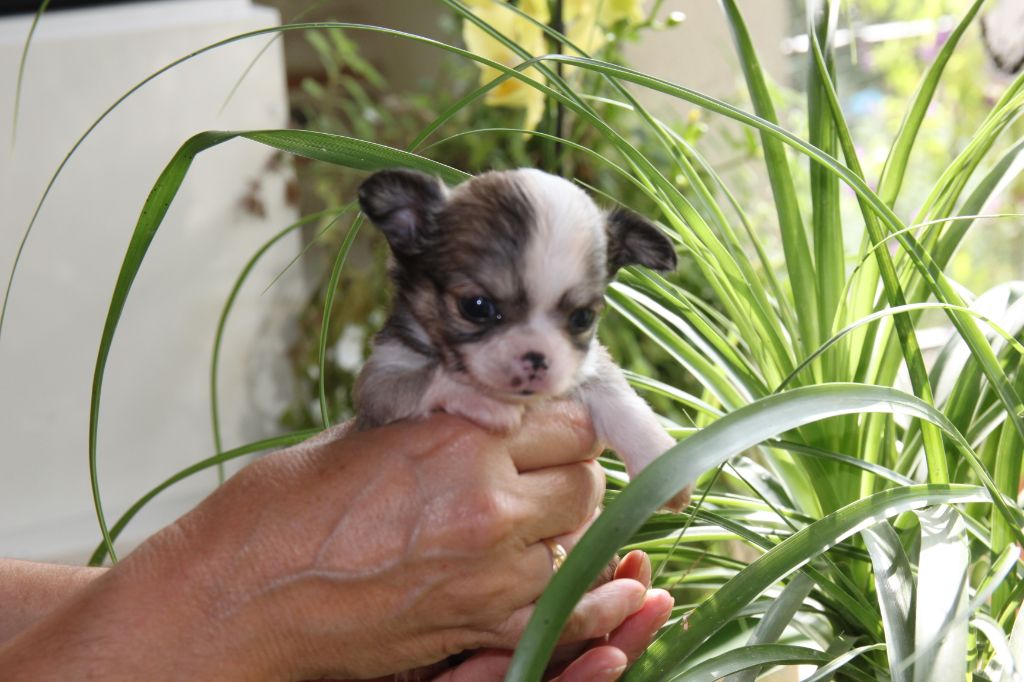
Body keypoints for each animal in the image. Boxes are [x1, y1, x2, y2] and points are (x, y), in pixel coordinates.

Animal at [353, 167, 690, 511]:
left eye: (582, 318)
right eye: (476, 306)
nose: (537, 358)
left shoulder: (585, 365)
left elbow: (619, 396)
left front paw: (660, 465)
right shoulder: (378, 383)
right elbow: (428, 379)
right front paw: (487, 399)